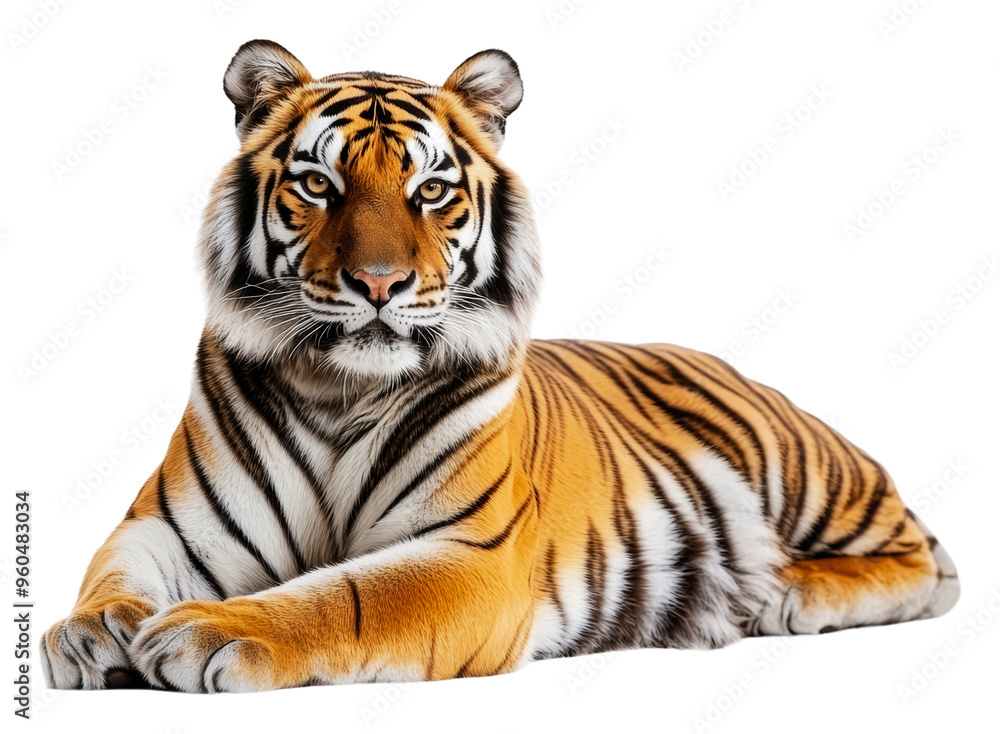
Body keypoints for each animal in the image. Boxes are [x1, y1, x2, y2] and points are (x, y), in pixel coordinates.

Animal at [42, 40, 959, 693]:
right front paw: (91, 633)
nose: (380, 282)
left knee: (927, 561)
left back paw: (785, 591)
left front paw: (217, 628)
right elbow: (113, 570)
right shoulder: (165, 526)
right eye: (319, 184)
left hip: (802, 466)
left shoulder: (469, 552)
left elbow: (343, 595)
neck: (341, 390)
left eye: (430, 192)